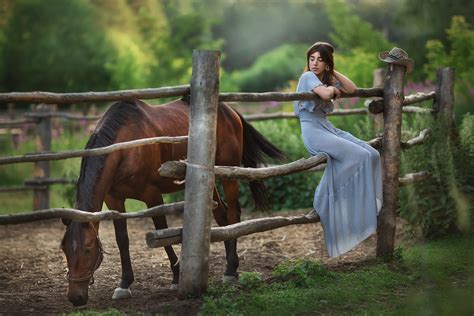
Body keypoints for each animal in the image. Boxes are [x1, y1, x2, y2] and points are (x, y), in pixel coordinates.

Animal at [58, 99, 282, 306]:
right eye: (64, 248)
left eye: (88, 249)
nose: (75, 297)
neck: (125, 147)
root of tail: (230, 111)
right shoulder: (114, 200)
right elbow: (122, 240)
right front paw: (124, 284)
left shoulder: (152, 195)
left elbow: (161, 231)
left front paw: (176, 277)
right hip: (209, 178)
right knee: (222, 216)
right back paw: (229, 267)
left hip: (229, 175)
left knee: (234, 214)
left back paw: (230, 270)